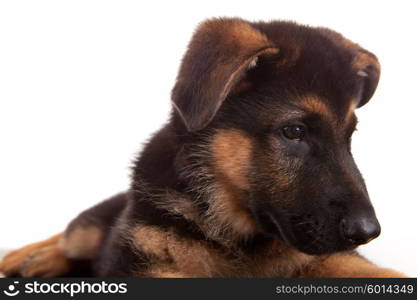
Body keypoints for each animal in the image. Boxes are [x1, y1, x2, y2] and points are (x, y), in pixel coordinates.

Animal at [0, 17, 404, 278]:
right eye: (294, 131)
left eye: (349, 135)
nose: (368, 232)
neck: (233, 228)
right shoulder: (141, 260)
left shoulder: (325, 257)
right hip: (91, 229)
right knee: (71, 235)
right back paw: (24, 256)